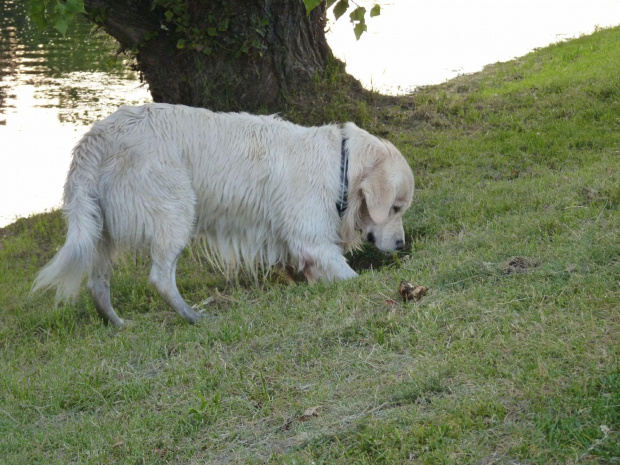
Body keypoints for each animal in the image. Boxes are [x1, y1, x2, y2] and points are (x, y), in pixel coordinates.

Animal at [31, 103, 414, 324]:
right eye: (395, 208)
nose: (401, 245)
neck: (340, 164)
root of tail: (95, 137)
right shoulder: (313, 241)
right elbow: (349, 276)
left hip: (99, 229)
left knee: (97, 284)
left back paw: (118, 323)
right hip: (175, 208)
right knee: (160, 278)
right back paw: (194, 317)